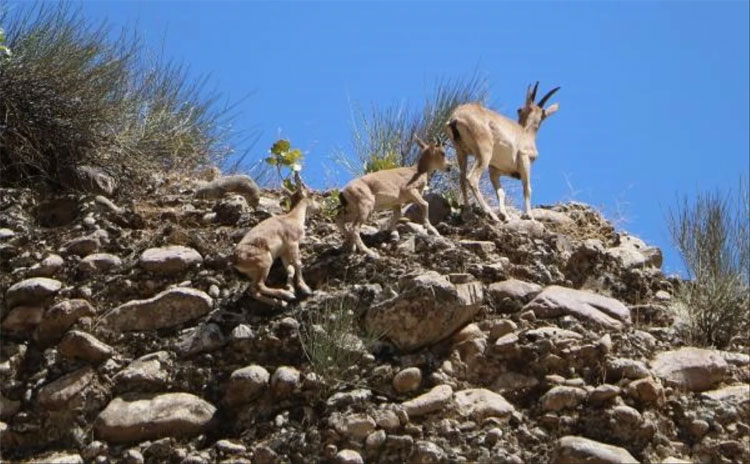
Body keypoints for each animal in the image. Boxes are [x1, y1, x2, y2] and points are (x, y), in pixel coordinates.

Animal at [234, 172, 318, 306]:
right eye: (312, 193)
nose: (319, 207)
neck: (293, 218)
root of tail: (236, 261)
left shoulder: (284, 251)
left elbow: (290, 269)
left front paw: (291, 288)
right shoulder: (293, 243)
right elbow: (297, 263)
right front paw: (305, 288)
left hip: (254, 272)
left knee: (253, 290)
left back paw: (281, 302)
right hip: (265, 262)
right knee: (259, 286)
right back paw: (286, 296)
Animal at [446, 81, 560, 221]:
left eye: (520, 109)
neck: (526, 132)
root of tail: (456, 117)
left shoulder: (495, 169)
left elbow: (501, 192)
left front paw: (505, 215)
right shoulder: (524, 158)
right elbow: (527, 188)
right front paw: (529, 215)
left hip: (461, 151)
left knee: (462, 179)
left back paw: (468, 213)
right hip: (484, 153)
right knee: (472, 179)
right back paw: (491, 214)